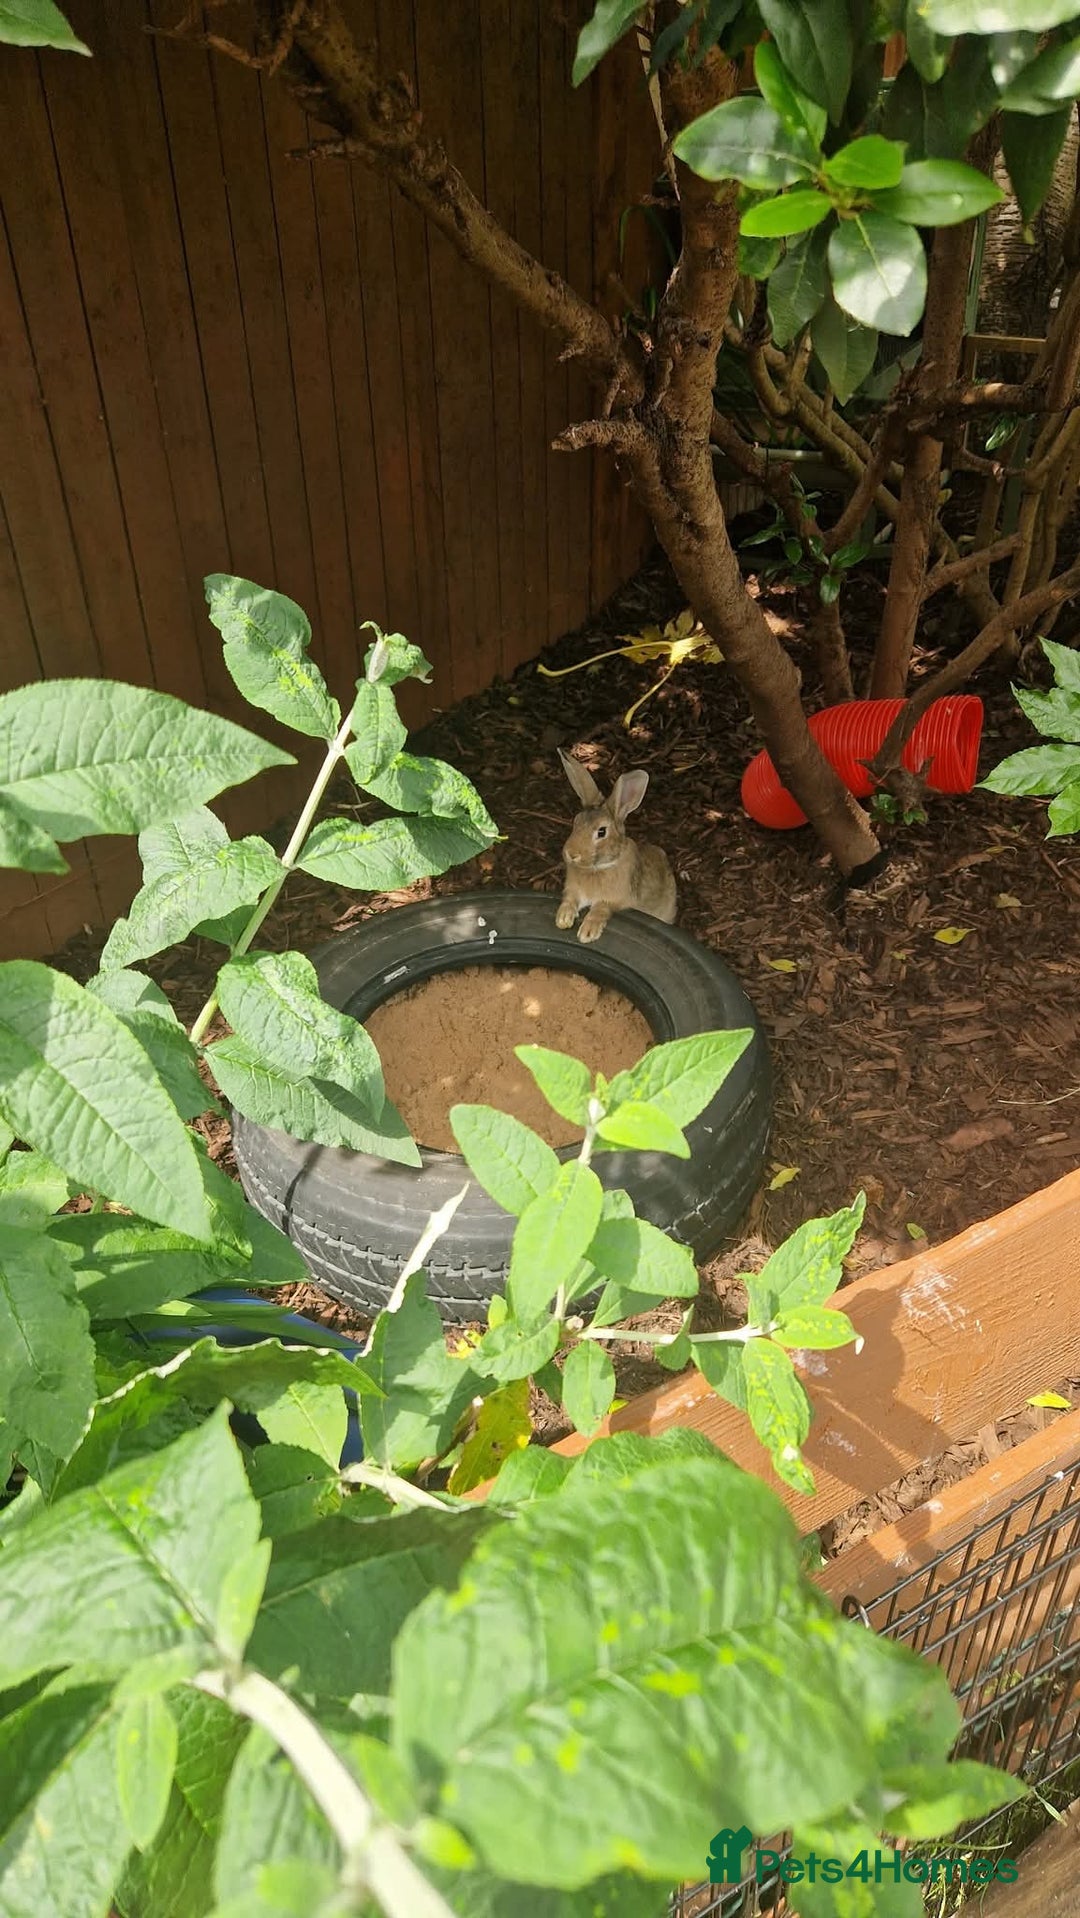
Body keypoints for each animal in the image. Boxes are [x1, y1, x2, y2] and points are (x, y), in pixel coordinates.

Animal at [555, 748, 677, 943]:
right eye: (576, 822)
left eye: (601, 832)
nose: (571, 854)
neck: (598, 867)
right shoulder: (573, 891)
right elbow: (570, 900)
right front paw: (563, 918)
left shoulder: (615, 899)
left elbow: (601, 908)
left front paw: (588, 932)